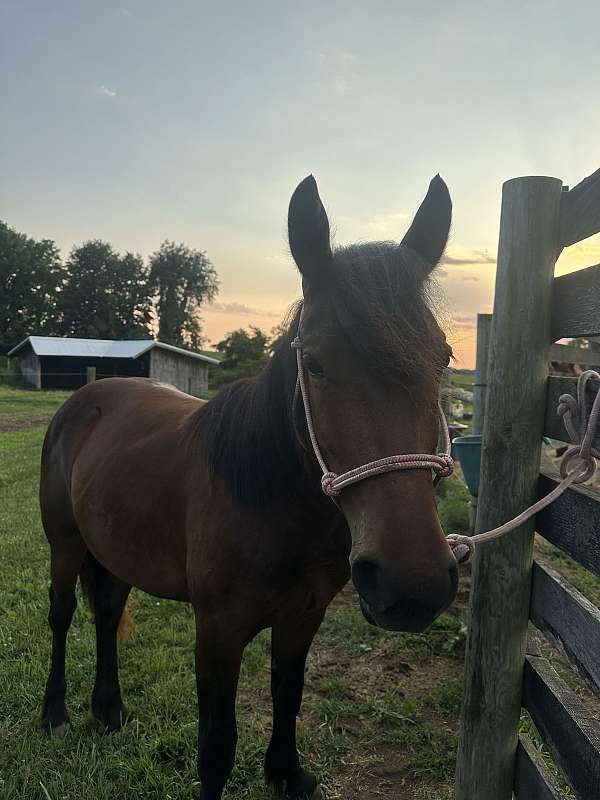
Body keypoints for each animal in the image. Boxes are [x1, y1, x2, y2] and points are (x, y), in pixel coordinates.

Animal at [39, 173, 458, 800]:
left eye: (443, 360)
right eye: (315, 364)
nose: (415, 584)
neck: (272, 507)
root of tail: (86, 397)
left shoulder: (302, 617)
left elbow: (289, 693)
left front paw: (285, 770)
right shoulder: (217, 631)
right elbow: (216, 746)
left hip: (113, 549)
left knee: (108, 612)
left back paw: (109, 709)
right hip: (65, 545)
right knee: (63, 613)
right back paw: (55, 714)